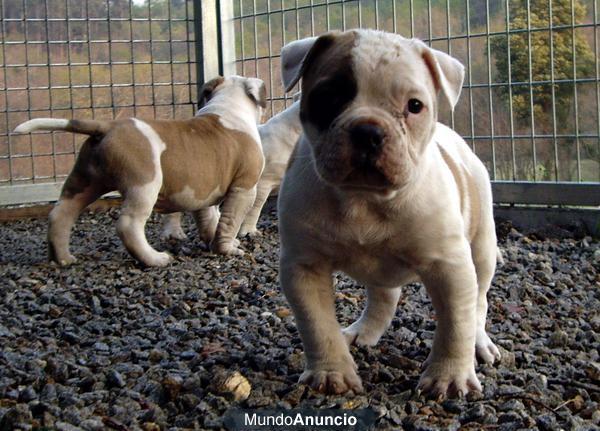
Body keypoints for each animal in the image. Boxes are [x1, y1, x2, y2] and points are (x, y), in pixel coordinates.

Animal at [14, 76, 266, 268]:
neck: (228, 106)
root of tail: (108, 127)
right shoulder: (244, 188)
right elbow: (229, 221)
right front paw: (227, 249)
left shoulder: (202, 191)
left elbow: (210, 219)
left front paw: (213, 241)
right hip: (144, 185)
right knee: (128, 225)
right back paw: (155, 259)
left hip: (85, 182)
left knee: (61, 214)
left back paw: (63, 258)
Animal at [278, 30, 502, 400]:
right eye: (328, 96)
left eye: (415, 106)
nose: (368, 131)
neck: (364, 200)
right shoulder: (303, 267)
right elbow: (317, 325)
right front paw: (331, 373)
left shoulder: (450, 267)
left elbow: (456, 324)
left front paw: (449, 377)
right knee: (384, 295)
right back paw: (362, 331)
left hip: (482, 247)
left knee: (479, 303)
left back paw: (481, 343)